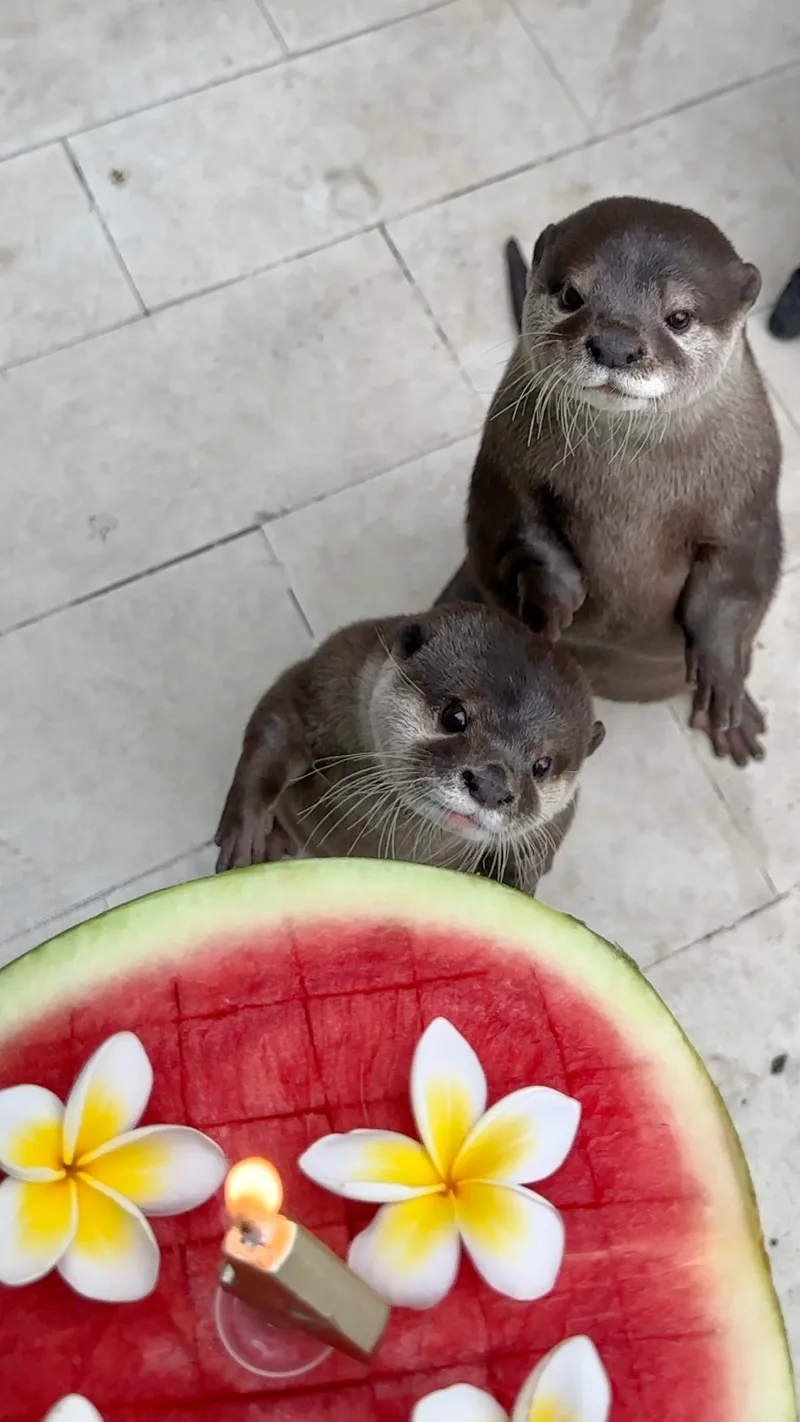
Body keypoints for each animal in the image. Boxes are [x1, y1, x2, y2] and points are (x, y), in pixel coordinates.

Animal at [215, 603, 604, 896]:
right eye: (454, 716)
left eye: (542, 765)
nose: (491, 786)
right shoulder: (327, 679)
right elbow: (276, 724)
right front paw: (244, 832)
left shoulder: (561, 810)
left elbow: (549, 832)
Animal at [444, 196, 782, 766]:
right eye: (571, 295)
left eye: (679, 317)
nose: (616, 344)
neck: (632, 494)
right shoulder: (505, 463)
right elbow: (521, 526)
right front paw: (553, 602)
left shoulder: (750, 502)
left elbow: (733, 587)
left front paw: (721, 682)